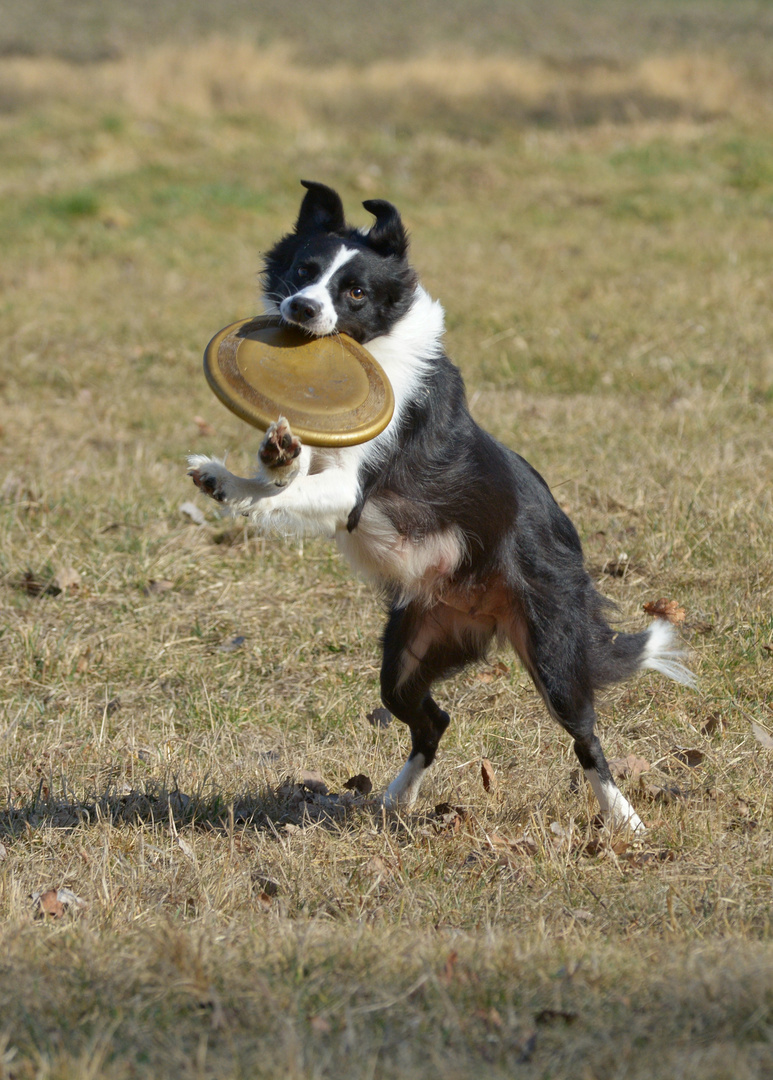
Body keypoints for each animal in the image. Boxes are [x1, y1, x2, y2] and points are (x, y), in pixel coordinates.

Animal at [188, 181, 695, 829]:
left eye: (355, 291)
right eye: (304, 270)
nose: (300, 308)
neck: (377, 345)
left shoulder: (353, 489)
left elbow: (300, 489)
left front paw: (255, 477)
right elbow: (282, 476)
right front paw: (232, 477)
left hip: (552, 651)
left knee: (587, 738)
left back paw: (624, 818)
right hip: (408, 656)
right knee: (434, 720)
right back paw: (397, 798)